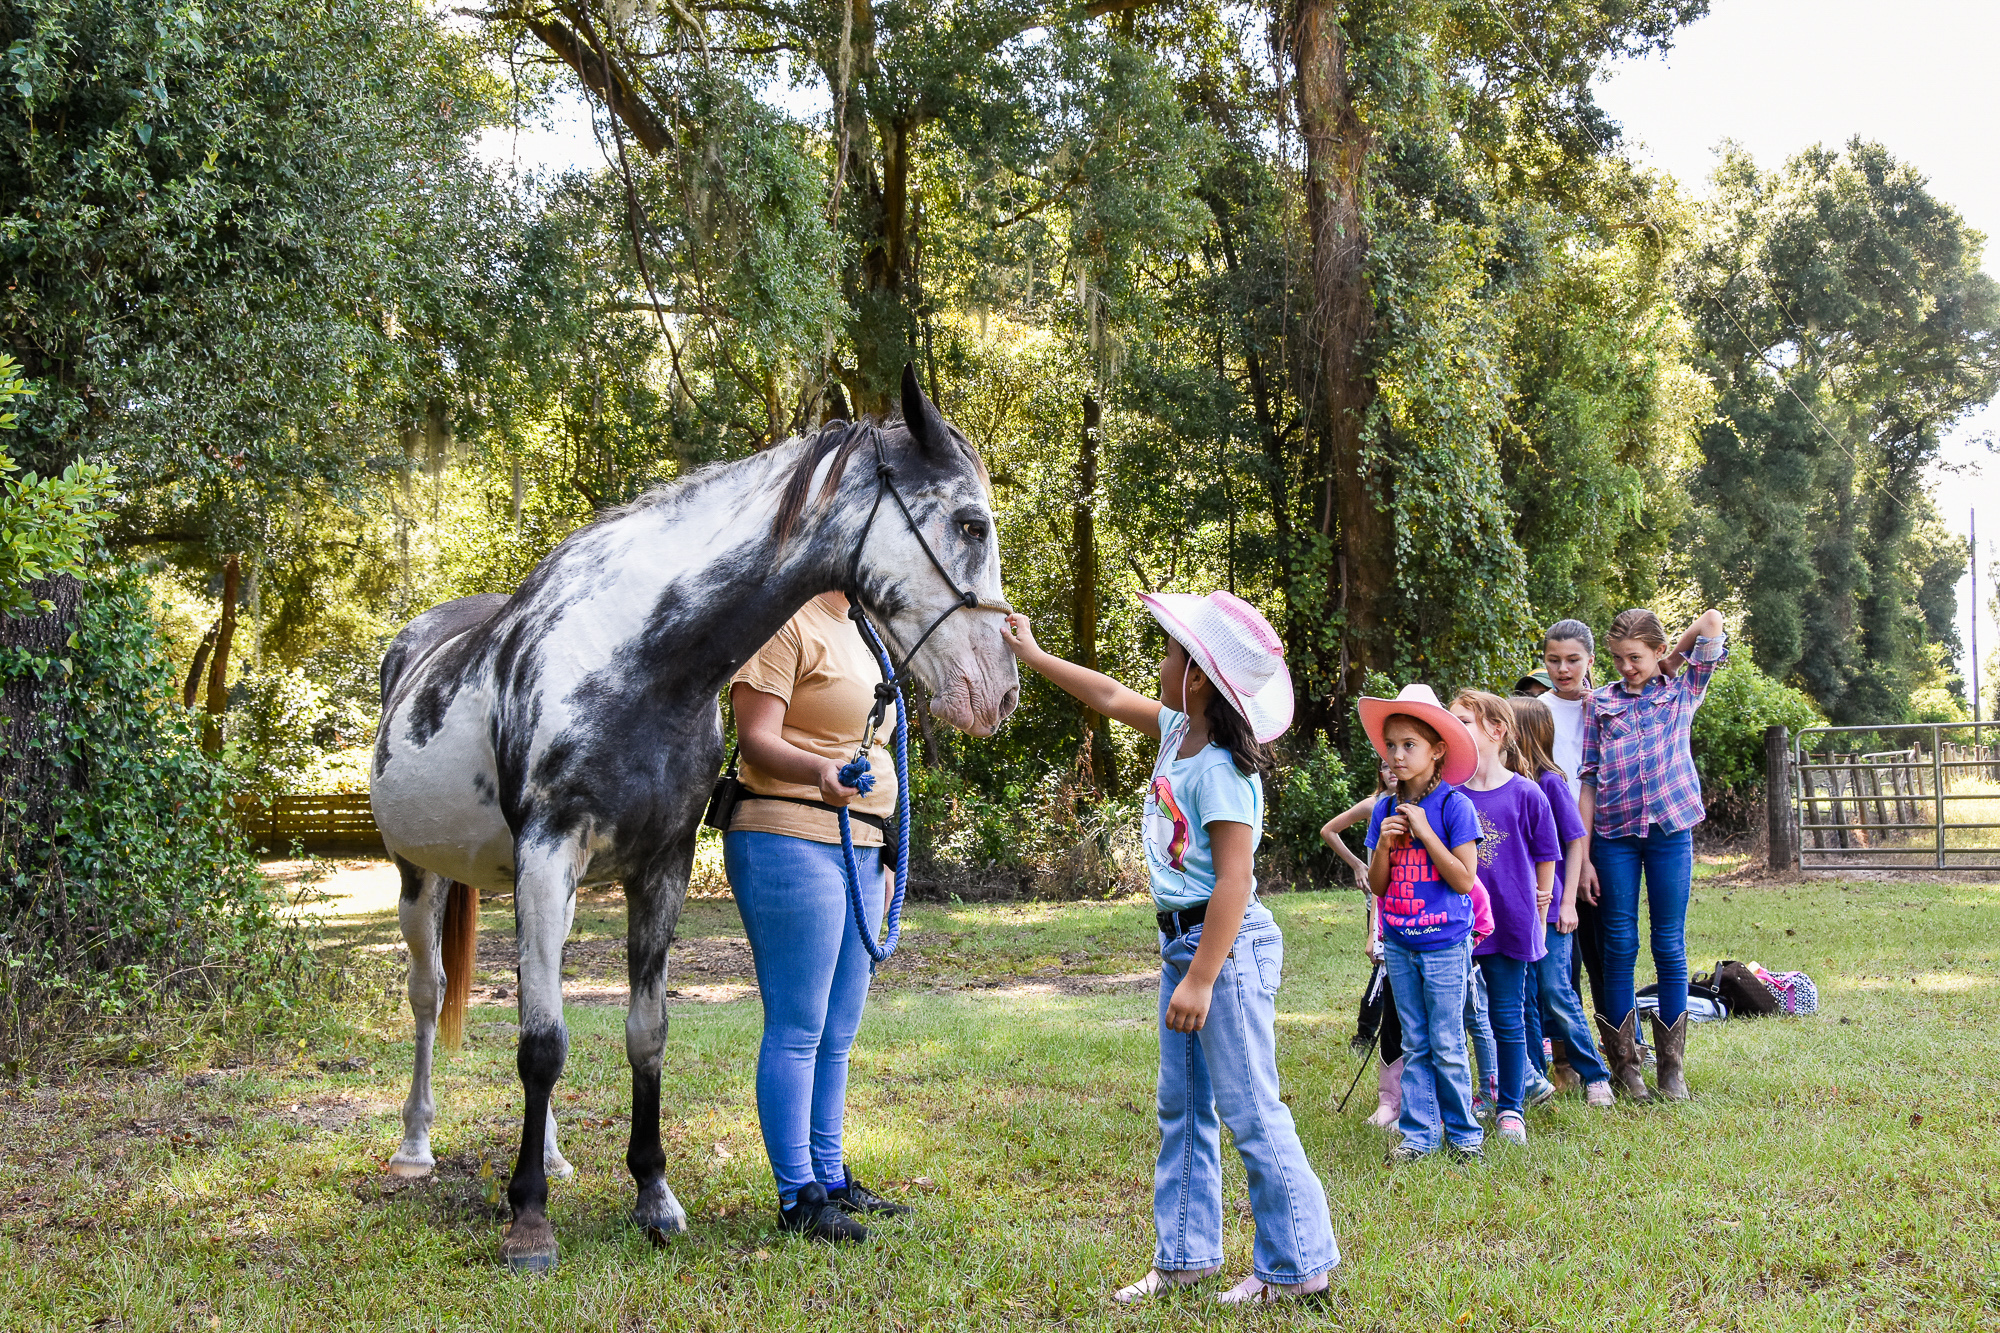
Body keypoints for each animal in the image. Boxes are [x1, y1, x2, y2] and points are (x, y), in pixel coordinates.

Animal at [374, 366, 1024, 1264]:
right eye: (970, 522)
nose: (1000, 693)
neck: (636, 660)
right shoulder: (548, 850)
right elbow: (542, 1045)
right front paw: (529, 1218)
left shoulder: (662, 864)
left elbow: (642, 1031)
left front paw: (652, 1194)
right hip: (420, 876)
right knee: (429, 994)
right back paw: (415, 1145)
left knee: (531, 992)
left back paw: (554, 1154)